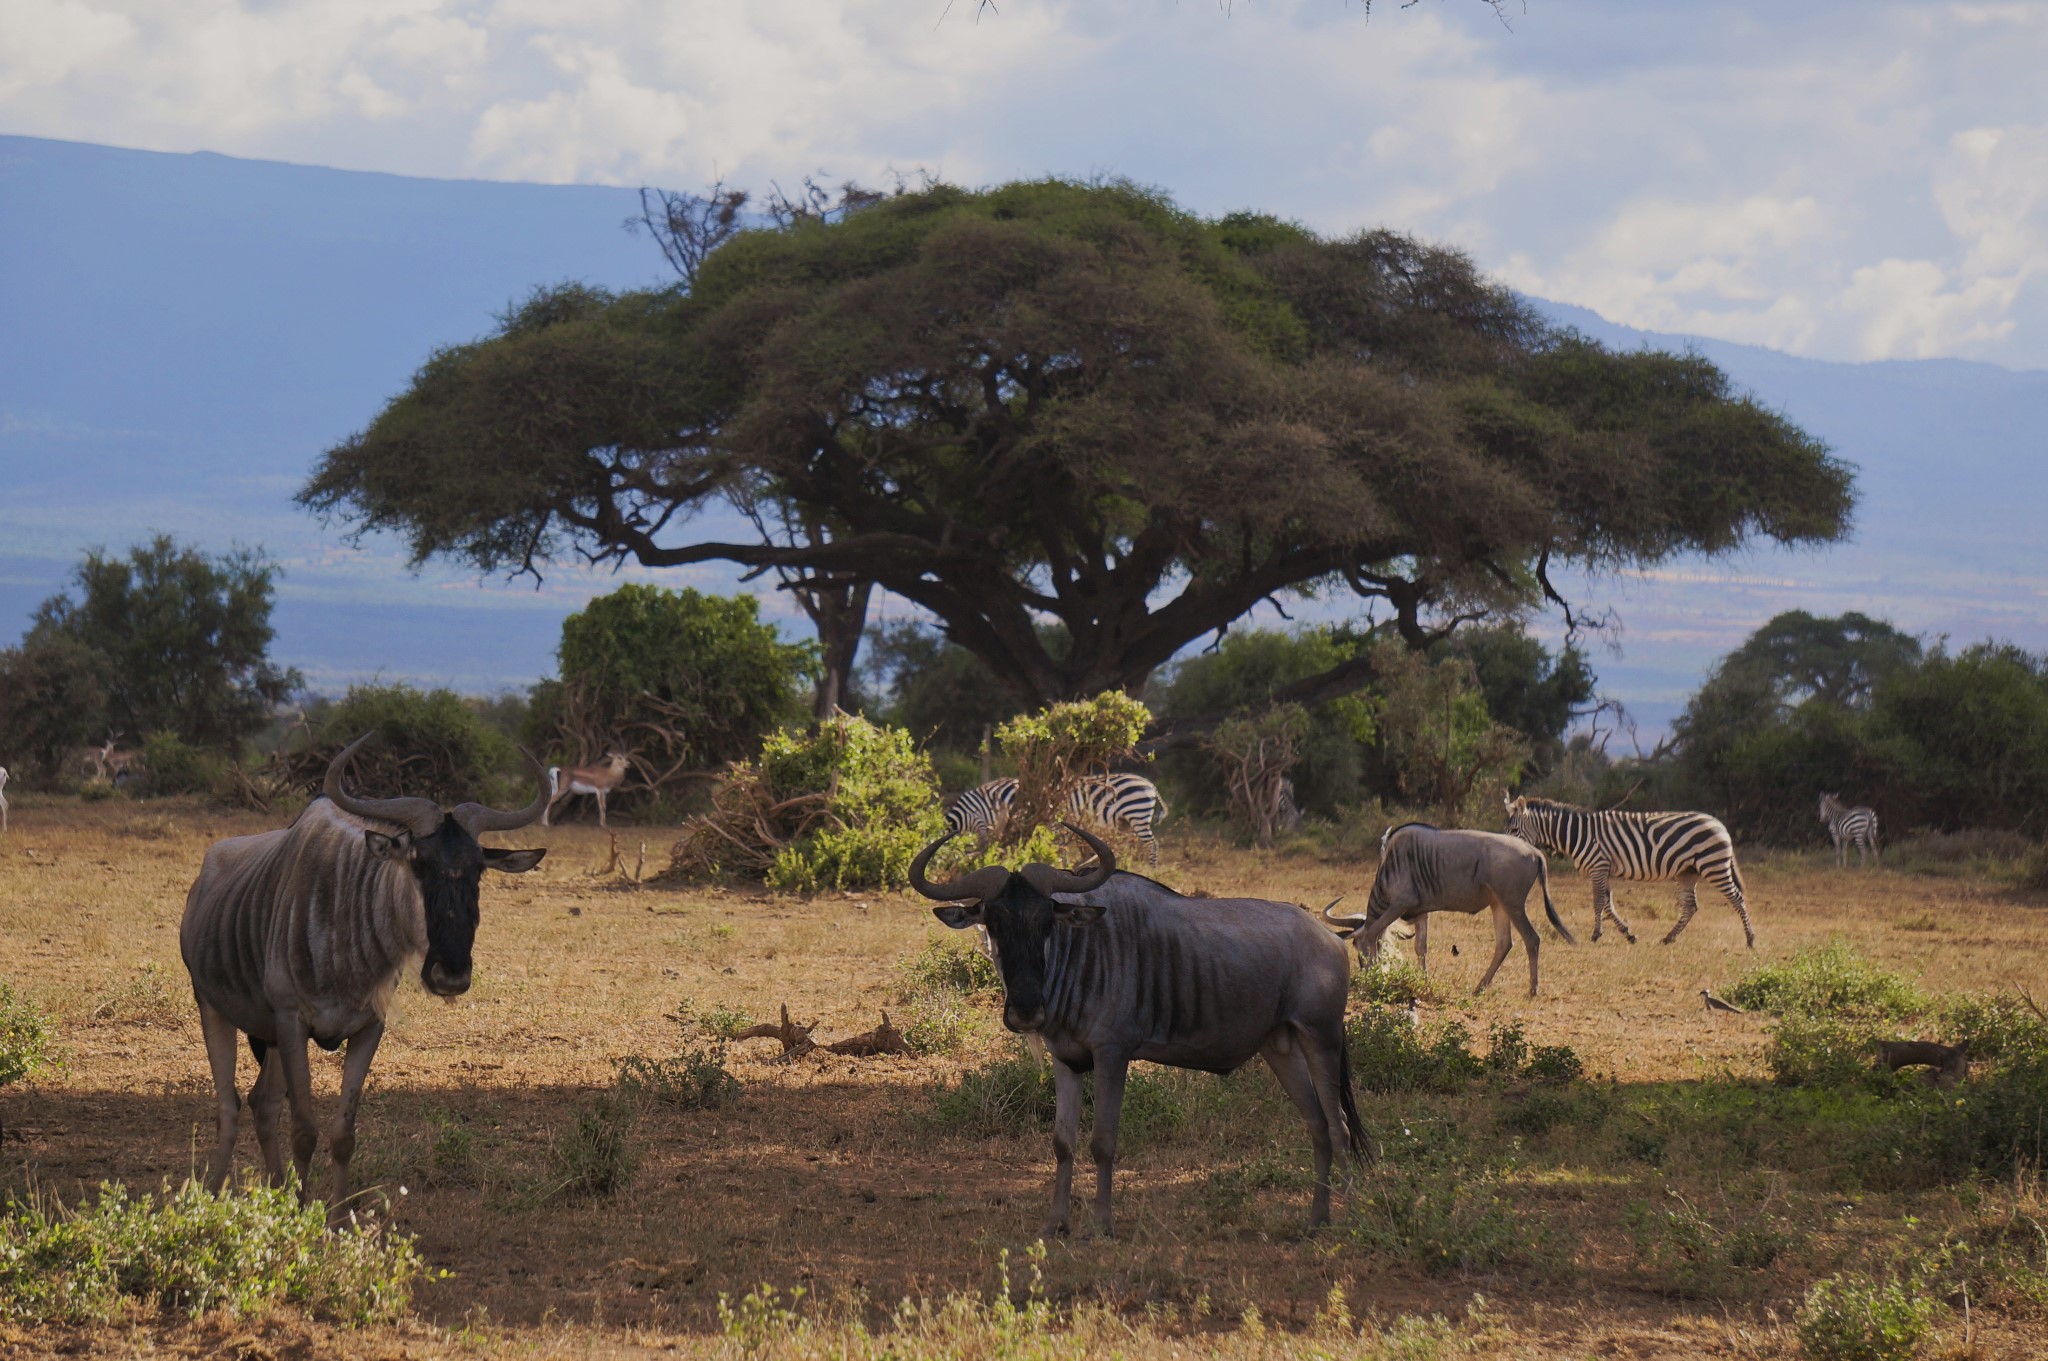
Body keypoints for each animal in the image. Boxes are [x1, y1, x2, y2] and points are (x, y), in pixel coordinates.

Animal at [942, 773, 1171, 859]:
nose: (980, 849)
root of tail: (1150, 785)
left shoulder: (1047, 822)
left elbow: (1049, 846)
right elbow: (1055, 847)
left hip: (1137, 814)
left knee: (1152, 844)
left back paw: (1151, 870)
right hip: (1125, 822)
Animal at [1499, 798, 1753, 945]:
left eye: (1514, 829)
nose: (1506, 847)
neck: (1579, 835)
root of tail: (1718, 823)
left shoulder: (1598, 866)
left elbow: (1598, 902)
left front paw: (1595, 935)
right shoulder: (1604, 870)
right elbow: (1608, 905)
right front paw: (1628, 935)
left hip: (1714, 866)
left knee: (1737, 899)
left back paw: (1750, 939)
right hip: (1688, 873)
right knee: (1691, 906)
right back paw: (1668, 938)